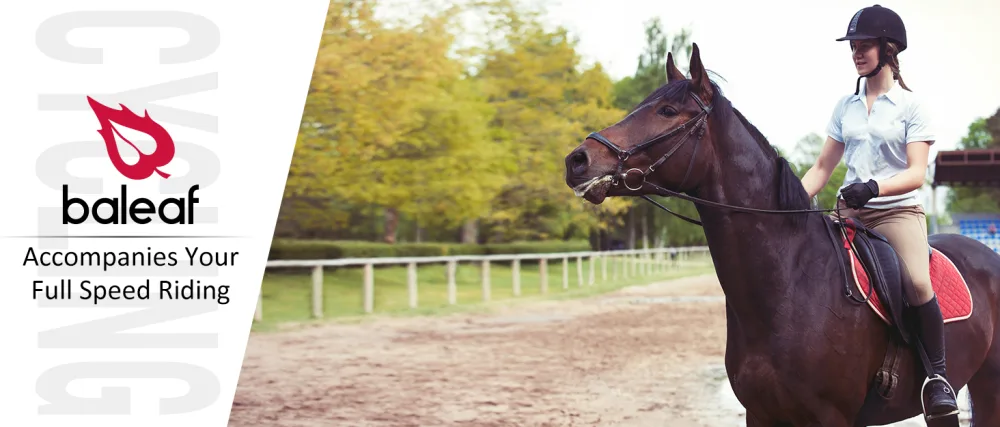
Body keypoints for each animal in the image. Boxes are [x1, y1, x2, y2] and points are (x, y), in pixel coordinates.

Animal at [564, 43, 1000, 427]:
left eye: (667, 111)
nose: (577, 161)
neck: (789, 284)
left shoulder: (831, 417)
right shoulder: (760, 414)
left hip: (987, 386)